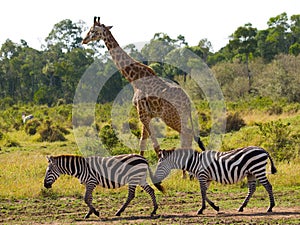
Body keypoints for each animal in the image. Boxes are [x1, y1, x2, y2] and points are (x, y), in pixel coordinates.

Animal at [81, 17, 206, 158]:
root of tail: (188, 102)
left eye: (92, 30)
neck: (134, 79)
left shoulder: (142, 114)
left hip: (170, 116)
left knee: (187, 135)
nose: (84, 40)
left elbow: (155, 147)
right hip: (180, 116)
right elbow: (142, 143)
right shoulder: (145, 115)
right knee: (188, 136)